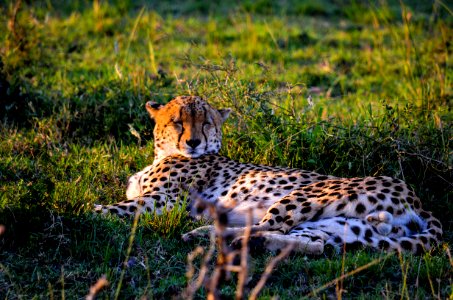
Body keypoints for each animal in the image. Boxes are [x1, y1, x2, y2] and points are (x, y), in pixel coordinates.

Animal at [95, 95, 442, 253]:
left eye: (206, 122)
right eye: (178, 121)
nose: (193, 142)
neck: (164, 153)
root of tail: (415, 197)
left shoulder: (166, 201)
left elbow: (113, 209)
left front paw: (87, 214)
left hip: (304, 196)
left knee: (267, 224)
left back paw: (208, 233)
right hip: (341, 227)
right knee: (313, 243)